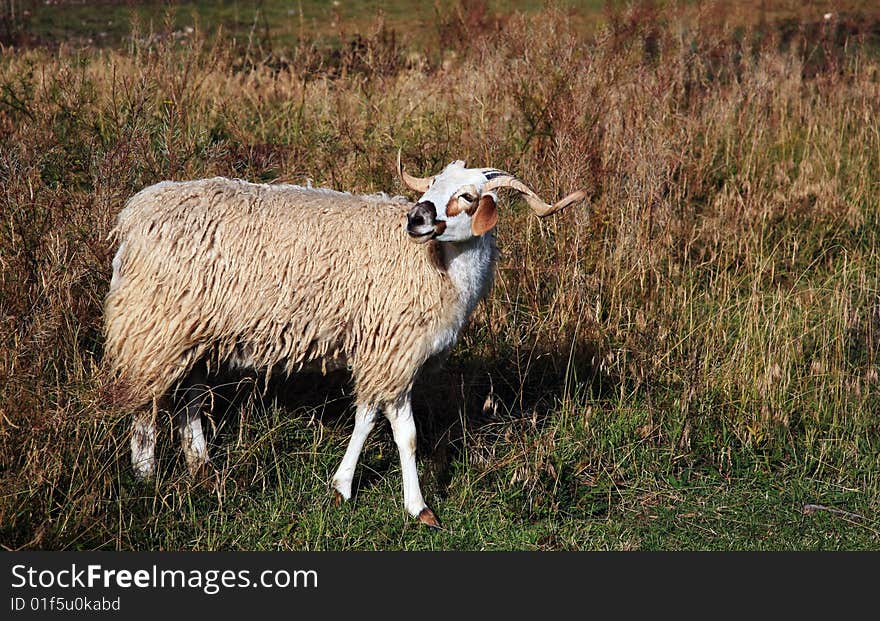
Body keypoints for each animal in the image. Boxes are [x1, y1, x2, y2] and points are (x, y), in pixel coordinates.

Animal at [105, 154, 584, 524]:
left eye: (467, 196)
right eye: (432, 184)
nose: (416, 219)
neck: (442, 268)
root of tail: (133, 218)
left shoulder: (380, 354)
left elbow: (366, 419)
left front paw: (341, 485)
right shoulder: (393, 351)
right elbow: (406, 434)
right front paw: (418, 508)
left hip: (193, 331)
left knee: (187, 396)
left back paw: (201, 467)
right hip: (154, 323)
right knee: (146, 402)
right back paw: (146, 476)